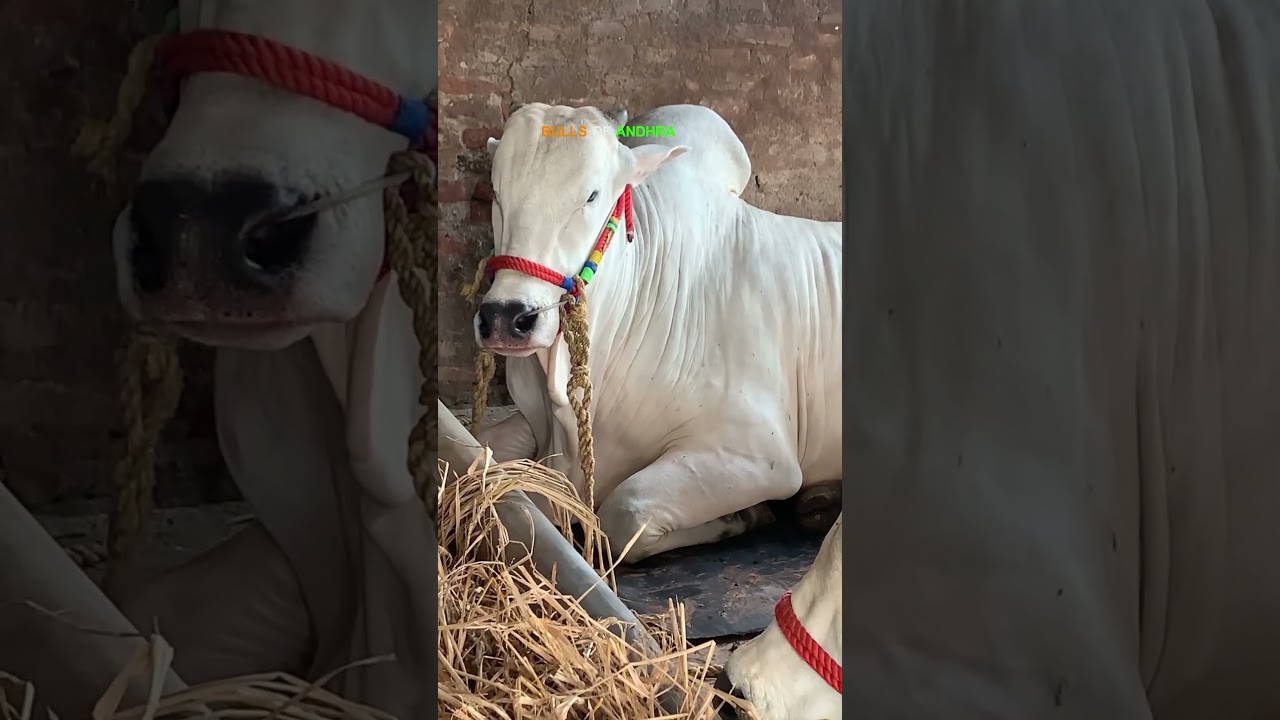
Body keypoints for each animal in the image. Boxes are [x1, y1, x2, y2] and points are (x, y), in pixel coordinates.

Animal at [475, 102, 844, 563]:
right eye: (496, 194)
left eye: (592, 196)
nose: (506, 317)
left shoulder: (761, 453)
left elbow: (624, 513)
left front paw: (742, 515)